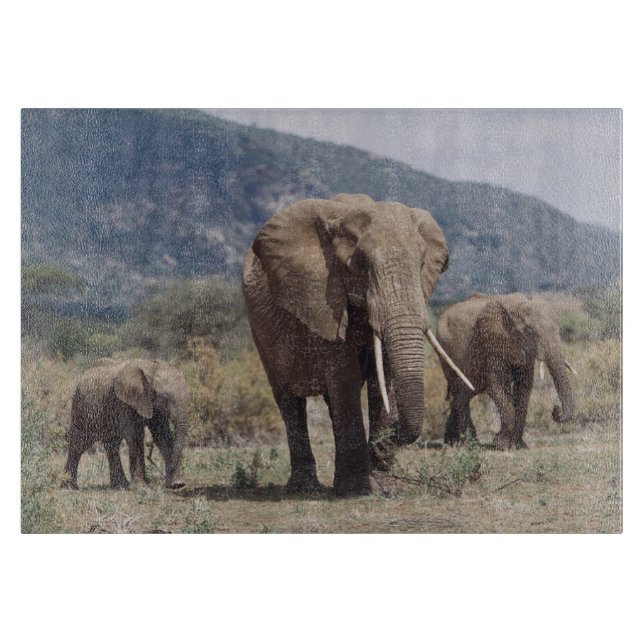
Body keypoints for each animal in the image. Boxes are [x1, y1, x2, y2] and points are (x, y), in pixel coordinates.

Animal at [62, 358, 189, 490]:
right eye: (165, 397)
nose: (166, 482)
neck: (150, 367)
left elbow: (162, 436)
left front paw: (177, 484)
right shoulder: (124, 402)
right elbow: (135, 436)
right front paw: (141, 486)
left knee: (111, 445)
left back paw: (120, 485)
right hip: (81, 409)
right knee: (79, 444)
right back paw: (69, 486)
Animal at [242, 193, 472, 496]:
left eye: (422, 264)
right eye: (361, 265)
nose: (387, 444)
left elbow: (382, 379)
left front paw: (383, 484)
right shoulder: (323, 300)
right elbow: (345, 377)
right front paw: (356, 489)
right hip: (261, 331)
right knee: (289, 400)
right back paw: (306, 489)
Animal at [436, 293, 576, 449]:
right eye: (530, 332)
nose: (555, 409)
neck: (516, 308)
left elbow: (525, 386)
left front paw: (519, 445)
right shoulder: (491, 344)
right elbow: (496, 385)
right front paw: (501, 443)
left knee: (464, 393)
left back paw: (452, 442)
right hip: (446, 353)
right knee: (460, 392)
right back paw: (469, 444)